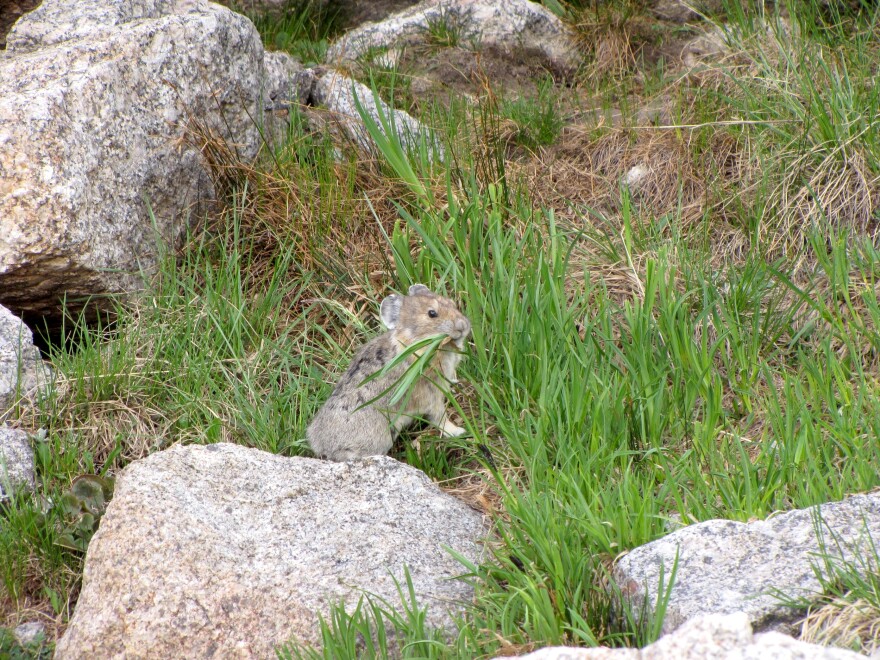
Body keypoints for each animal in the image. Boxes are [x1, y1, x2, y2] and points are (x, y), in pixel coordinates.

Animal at [307, 284, 471, 461]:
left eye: (452, 303)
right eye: (432, 313)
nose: (463, 326)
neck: (414, 344)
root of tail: (321, 445)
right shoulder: (431, 395)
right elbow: (440, 418)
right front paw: (459, 432)